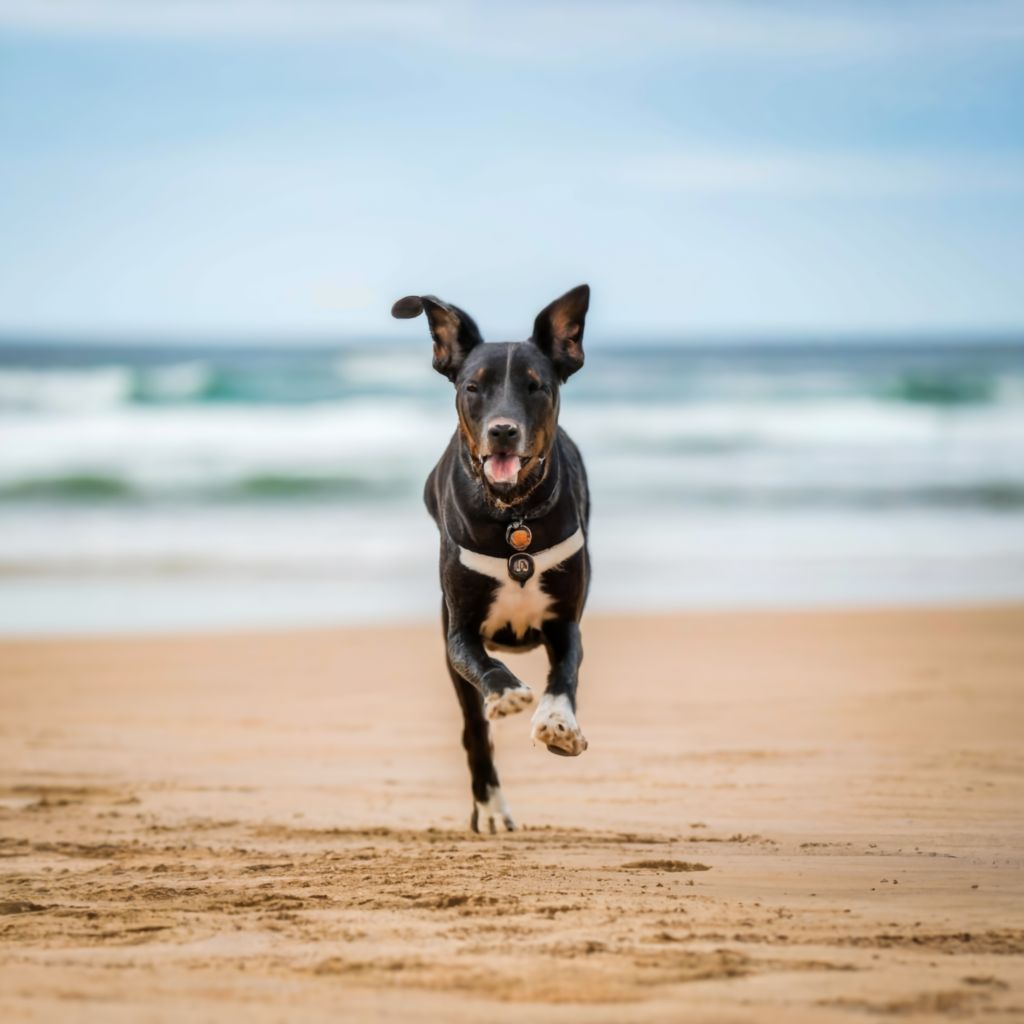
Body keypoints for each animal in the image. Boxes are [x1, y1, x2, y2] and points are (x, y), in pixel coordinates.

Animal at [393, 284, 598, 827]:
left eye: (535, 386)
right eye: (473, 387)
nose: (503, 430)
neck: (513, 517)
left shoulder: (564, 622)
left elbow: (564, 676)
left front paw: (558, 723)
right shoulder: (458, 632)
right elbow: (483, 669)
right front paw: (506, 692)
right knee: (473, 731)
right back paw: (489, 807)